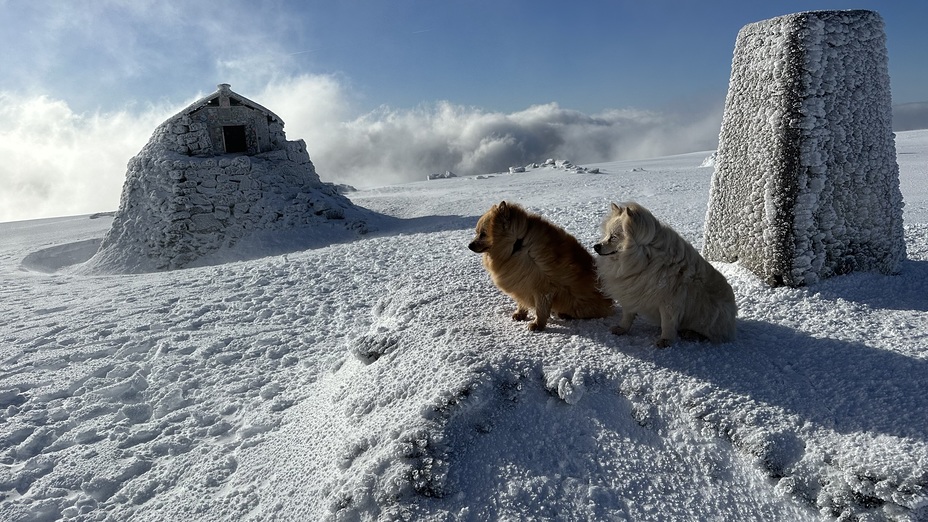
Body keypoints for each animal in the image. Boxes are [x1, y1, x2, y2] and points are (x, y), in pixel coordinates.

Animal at [468, 200, 612, 330]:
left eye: (482, 234)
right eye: (477, 232)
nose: (469, 245)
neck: (516, 246)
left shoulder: (542, 286)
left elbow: (541, 309)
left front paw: (538, 325)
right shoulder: (521, 281)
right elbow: (522, 301)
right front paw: (520, 314)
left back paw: (565, 314)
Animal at [596, 202, 740, 346]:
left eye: (614, 237)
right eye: (606, 235)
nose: (596, 246)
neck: (646, 260)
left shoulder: (669, 303)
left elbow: (668, 324)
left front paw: (665, 341)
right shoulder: (630, 292)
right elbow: (627, 316)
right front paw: (622, 329)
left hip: (709, 316)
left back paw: (692, 334)